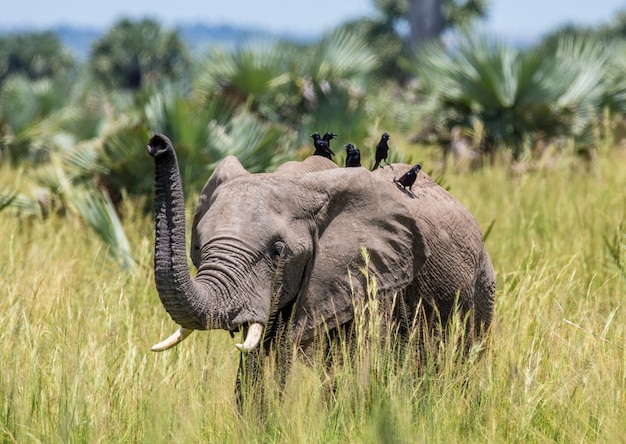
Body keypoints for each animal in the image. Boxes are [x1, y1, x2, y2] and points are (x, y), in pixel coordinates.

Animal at [145, 133, 492, 396]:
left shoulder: (374, 278)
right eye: (199, 246)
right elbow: (258, 372)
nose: (156, 144)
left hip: (482, 285)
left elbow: (357, 368)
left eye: (277, 251)